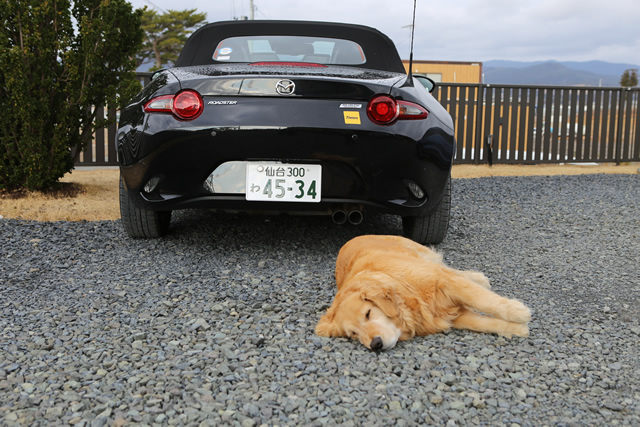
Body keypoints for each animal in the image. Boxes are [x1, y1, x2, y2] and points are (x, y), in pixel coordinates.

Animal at [315, 235, 531, 351]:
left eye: (368, 313)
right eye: (353, 334)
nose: (375, 344)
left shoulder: (442, 282)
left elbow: (483, 300)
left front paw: (518, 311)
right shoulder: (448, 316)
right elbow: (482, 323)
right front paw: (516, 329)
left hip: (425, 255)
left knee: (451, 269)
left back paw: (478, 278)